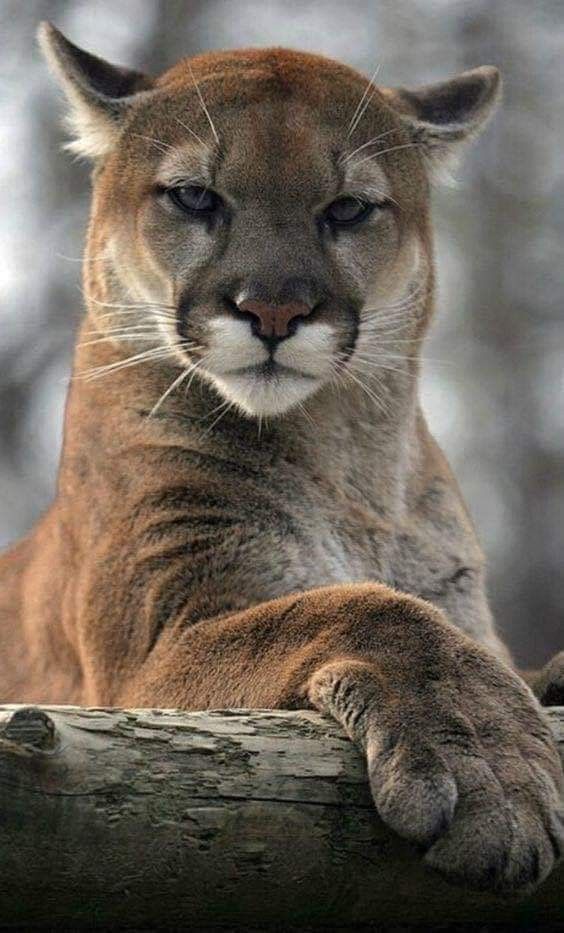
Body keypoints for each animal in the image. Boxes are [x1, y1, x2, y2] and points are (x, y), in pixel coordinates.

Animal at [1, 20, 564, 896]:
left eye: (348, 208)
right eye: (195, 196)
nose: (272, 309)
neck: (351, 470)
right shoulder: (153, 649)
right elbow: (358, 607)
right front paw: (490, 771)